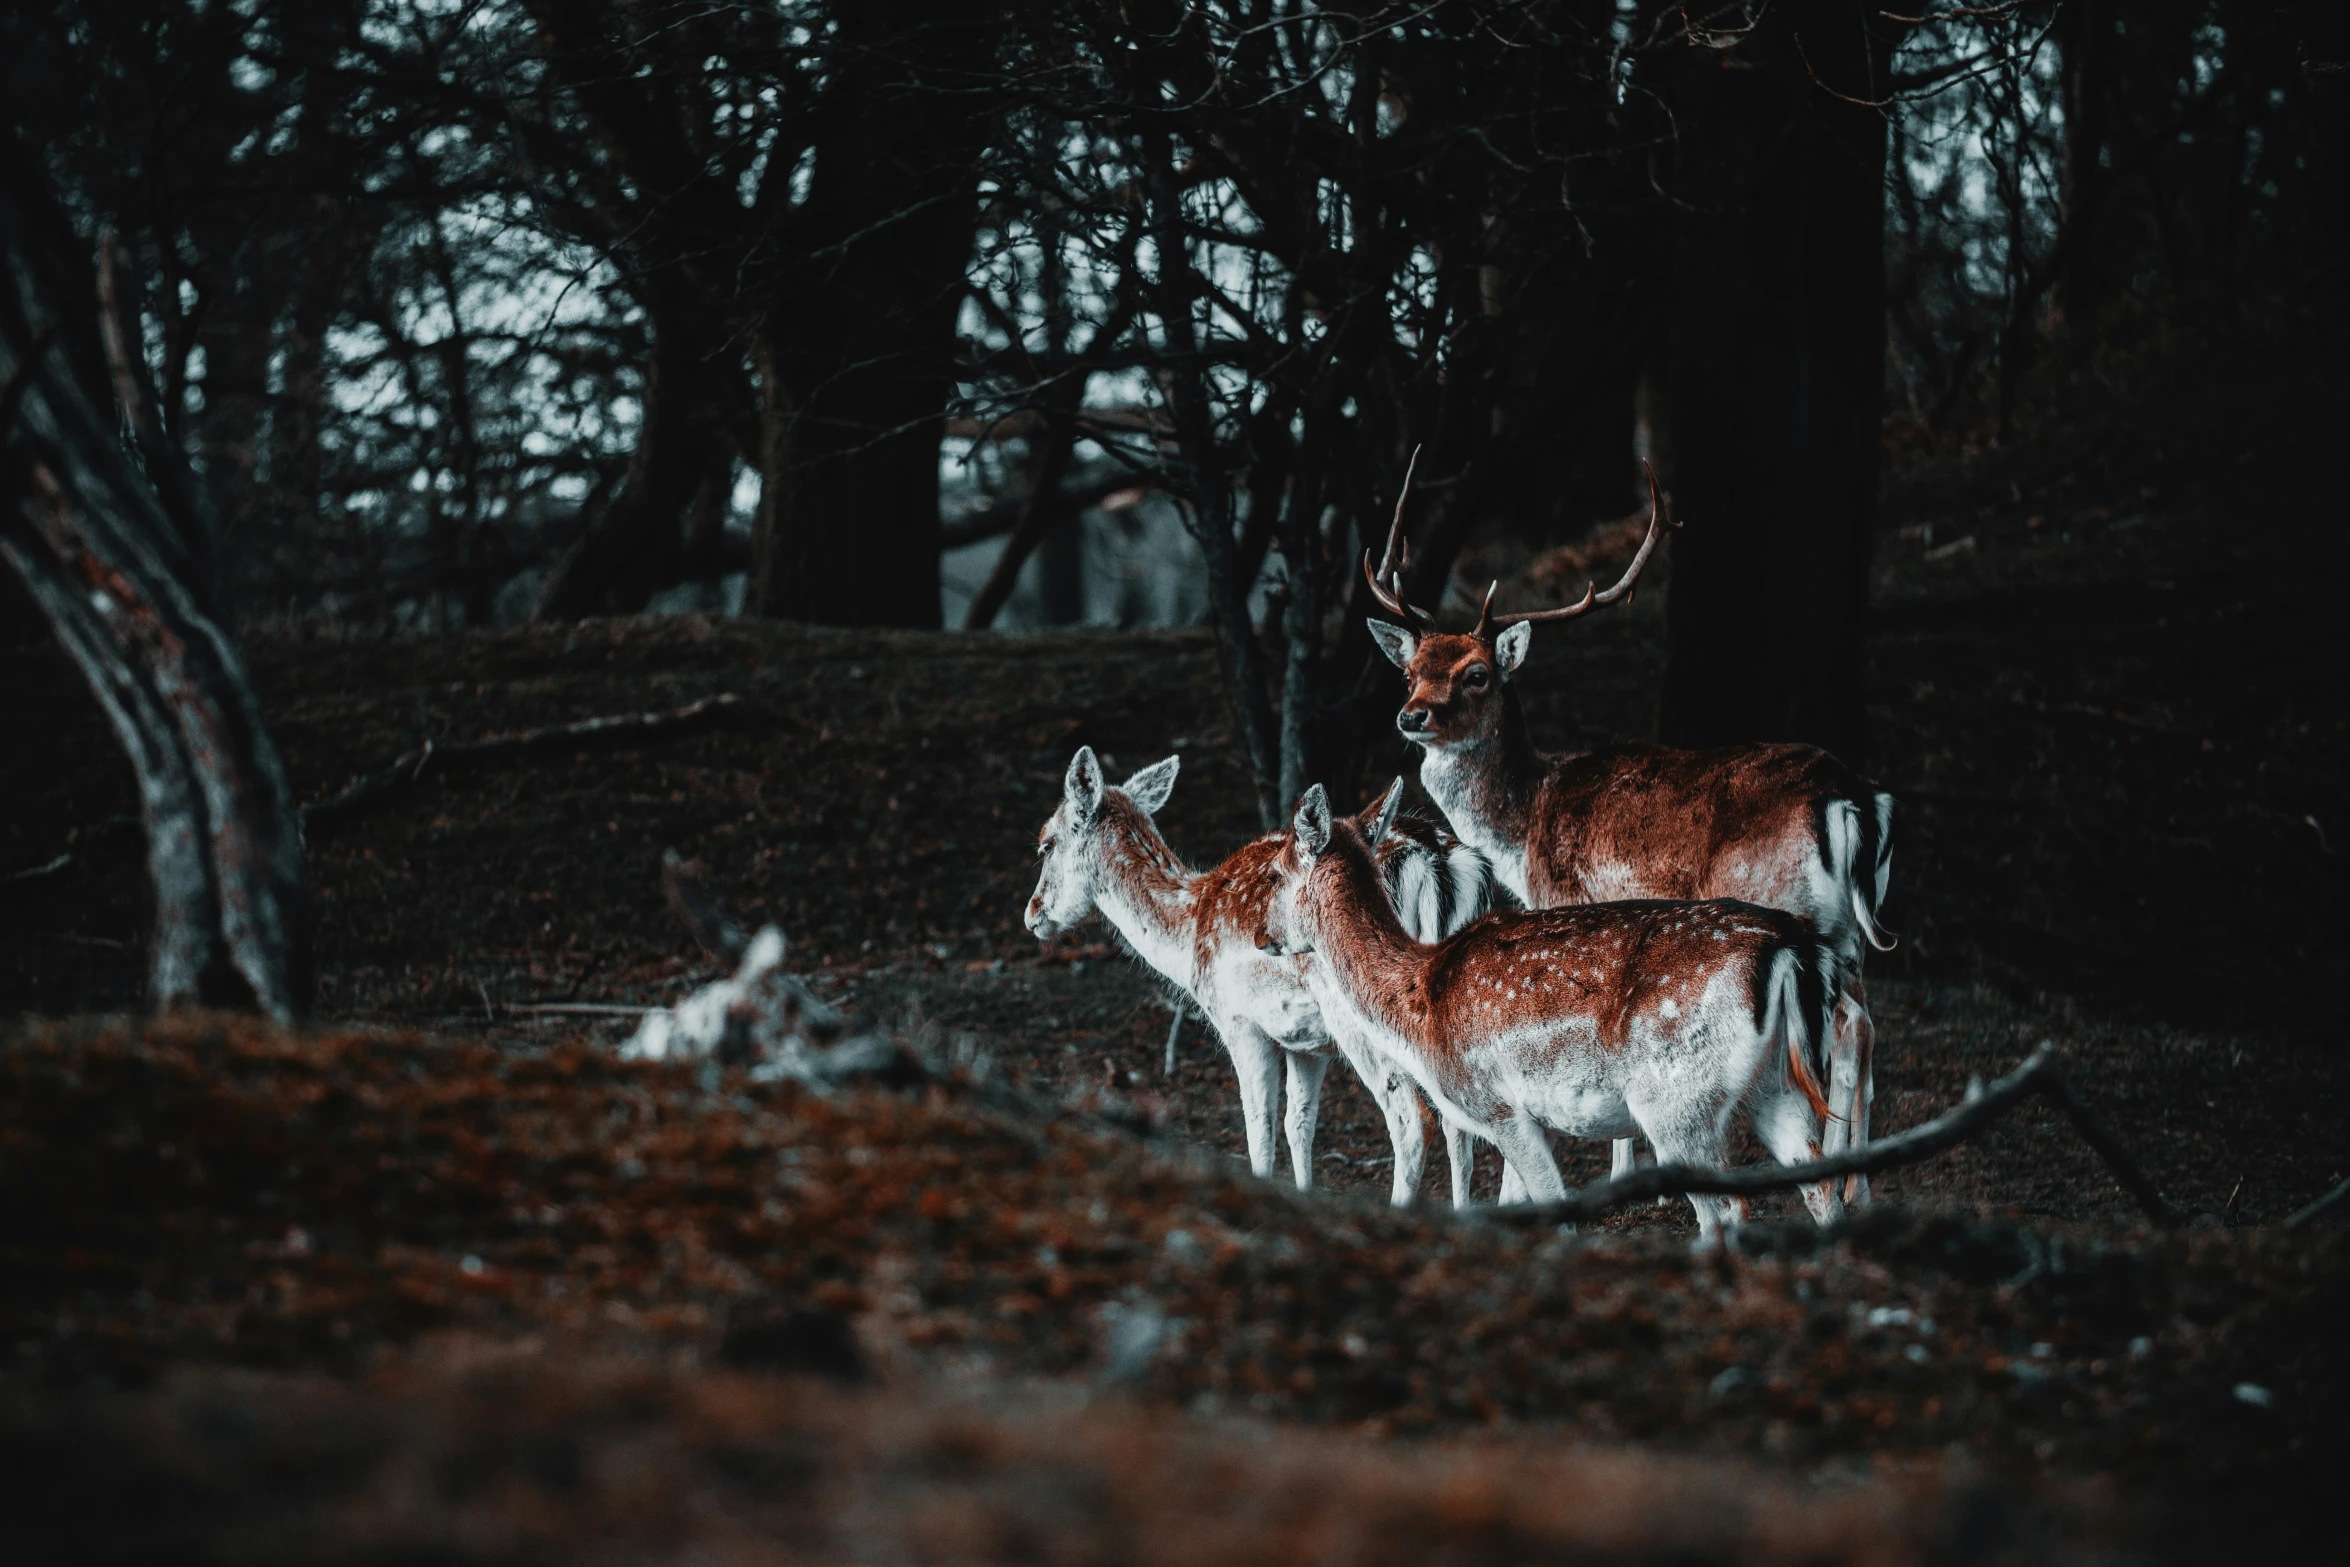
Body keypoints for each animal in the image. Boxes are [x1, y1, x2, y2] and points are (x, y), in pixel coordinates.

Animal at [1024, 747, 1485, 1202]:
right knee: (1460, 1127)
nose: (1032, 914)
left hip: (1361, 1014)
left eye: (1046, 844)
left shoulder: (1239, 1022)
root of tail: (1435, 859)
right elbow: (1299, 1125)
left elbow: (1258, 1133)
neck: (1188, 936)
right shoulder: (1306, 1043)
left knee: (1413, 1120)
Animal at [1269, 779, 1851, 1240]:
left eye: (1274, 874)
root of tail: (1791, 947)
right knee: (1821, 1189)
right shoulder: (1537, 1116)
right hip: (1775, 1086)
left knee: (1729, 1208)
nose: (1262, 935)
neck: (1419, 1006)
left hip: (1675, 1101)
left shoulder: (1497, 1105)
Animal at [1363, 462, 1889, 1202]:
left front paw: (1634, 1173)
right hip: (1848, 932)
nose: (1412, 716)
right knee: (1864, 1025)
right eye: (1412, 672)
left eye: (1478, 675)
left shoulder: (1567, 898)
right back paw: (1856, 1179)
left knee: (1845, 1024)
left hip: (1788, 900)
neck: (1523, 827)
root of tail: (1853, 801)